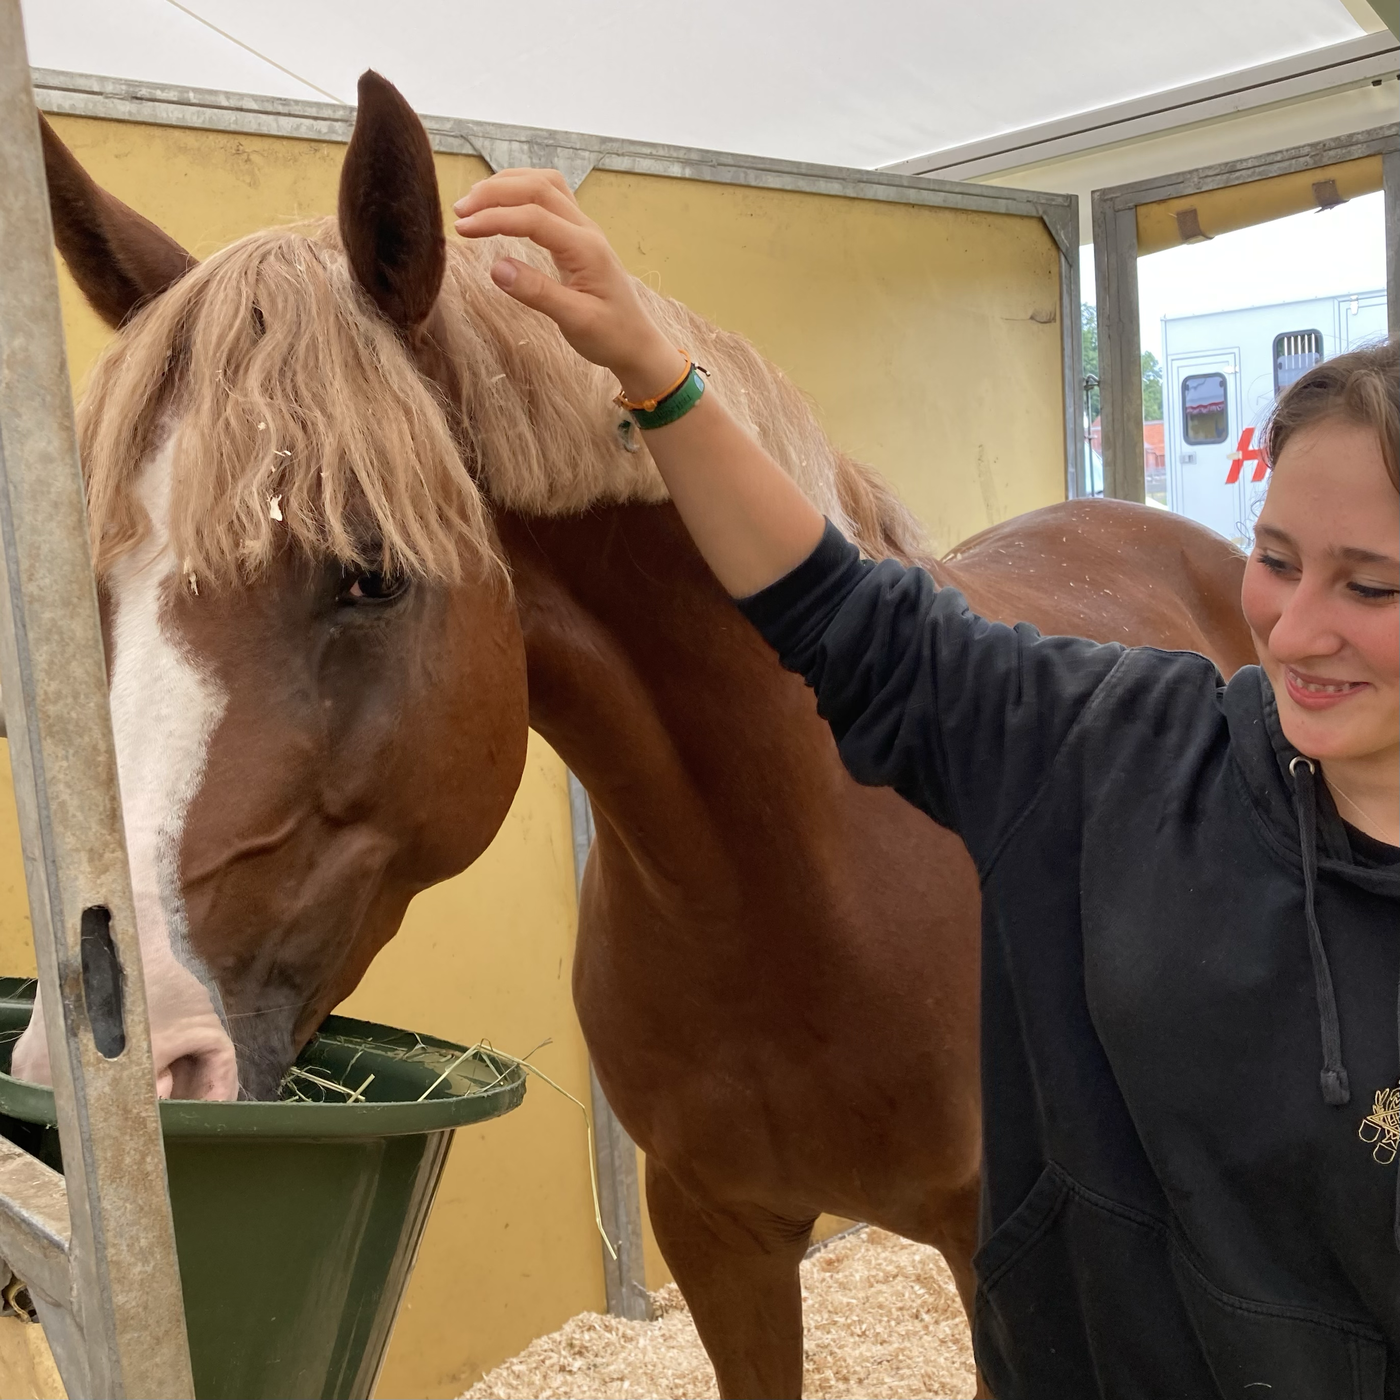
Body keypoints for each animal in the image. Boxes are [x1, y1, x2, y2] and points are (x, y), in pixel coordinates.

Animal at [16, 79, 1254, 1400]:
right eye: (91, 590)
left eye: (368, 572)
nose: (124, 1065)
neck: (804, 877)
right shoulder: (716, 1235)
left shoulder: (992, 1256)